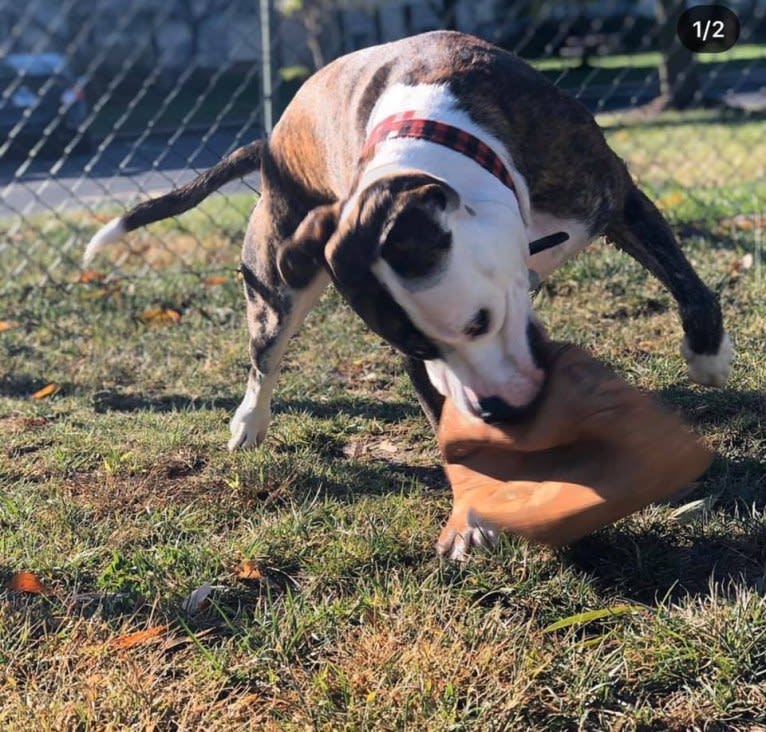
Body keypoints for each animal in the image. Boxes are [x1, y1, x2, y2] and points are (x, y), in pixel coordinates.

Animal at [87, 30, 736, 556]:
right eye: (424, 349)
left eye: (481, 322)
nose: (495, 411)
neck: (435, 139)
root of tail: (270, 143)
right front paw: (474, 513)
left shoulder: (612, 195)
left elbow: (685, 279)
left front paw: (707, 353)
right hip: (276, 279)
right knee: (264, 354)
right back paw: (250, 419)